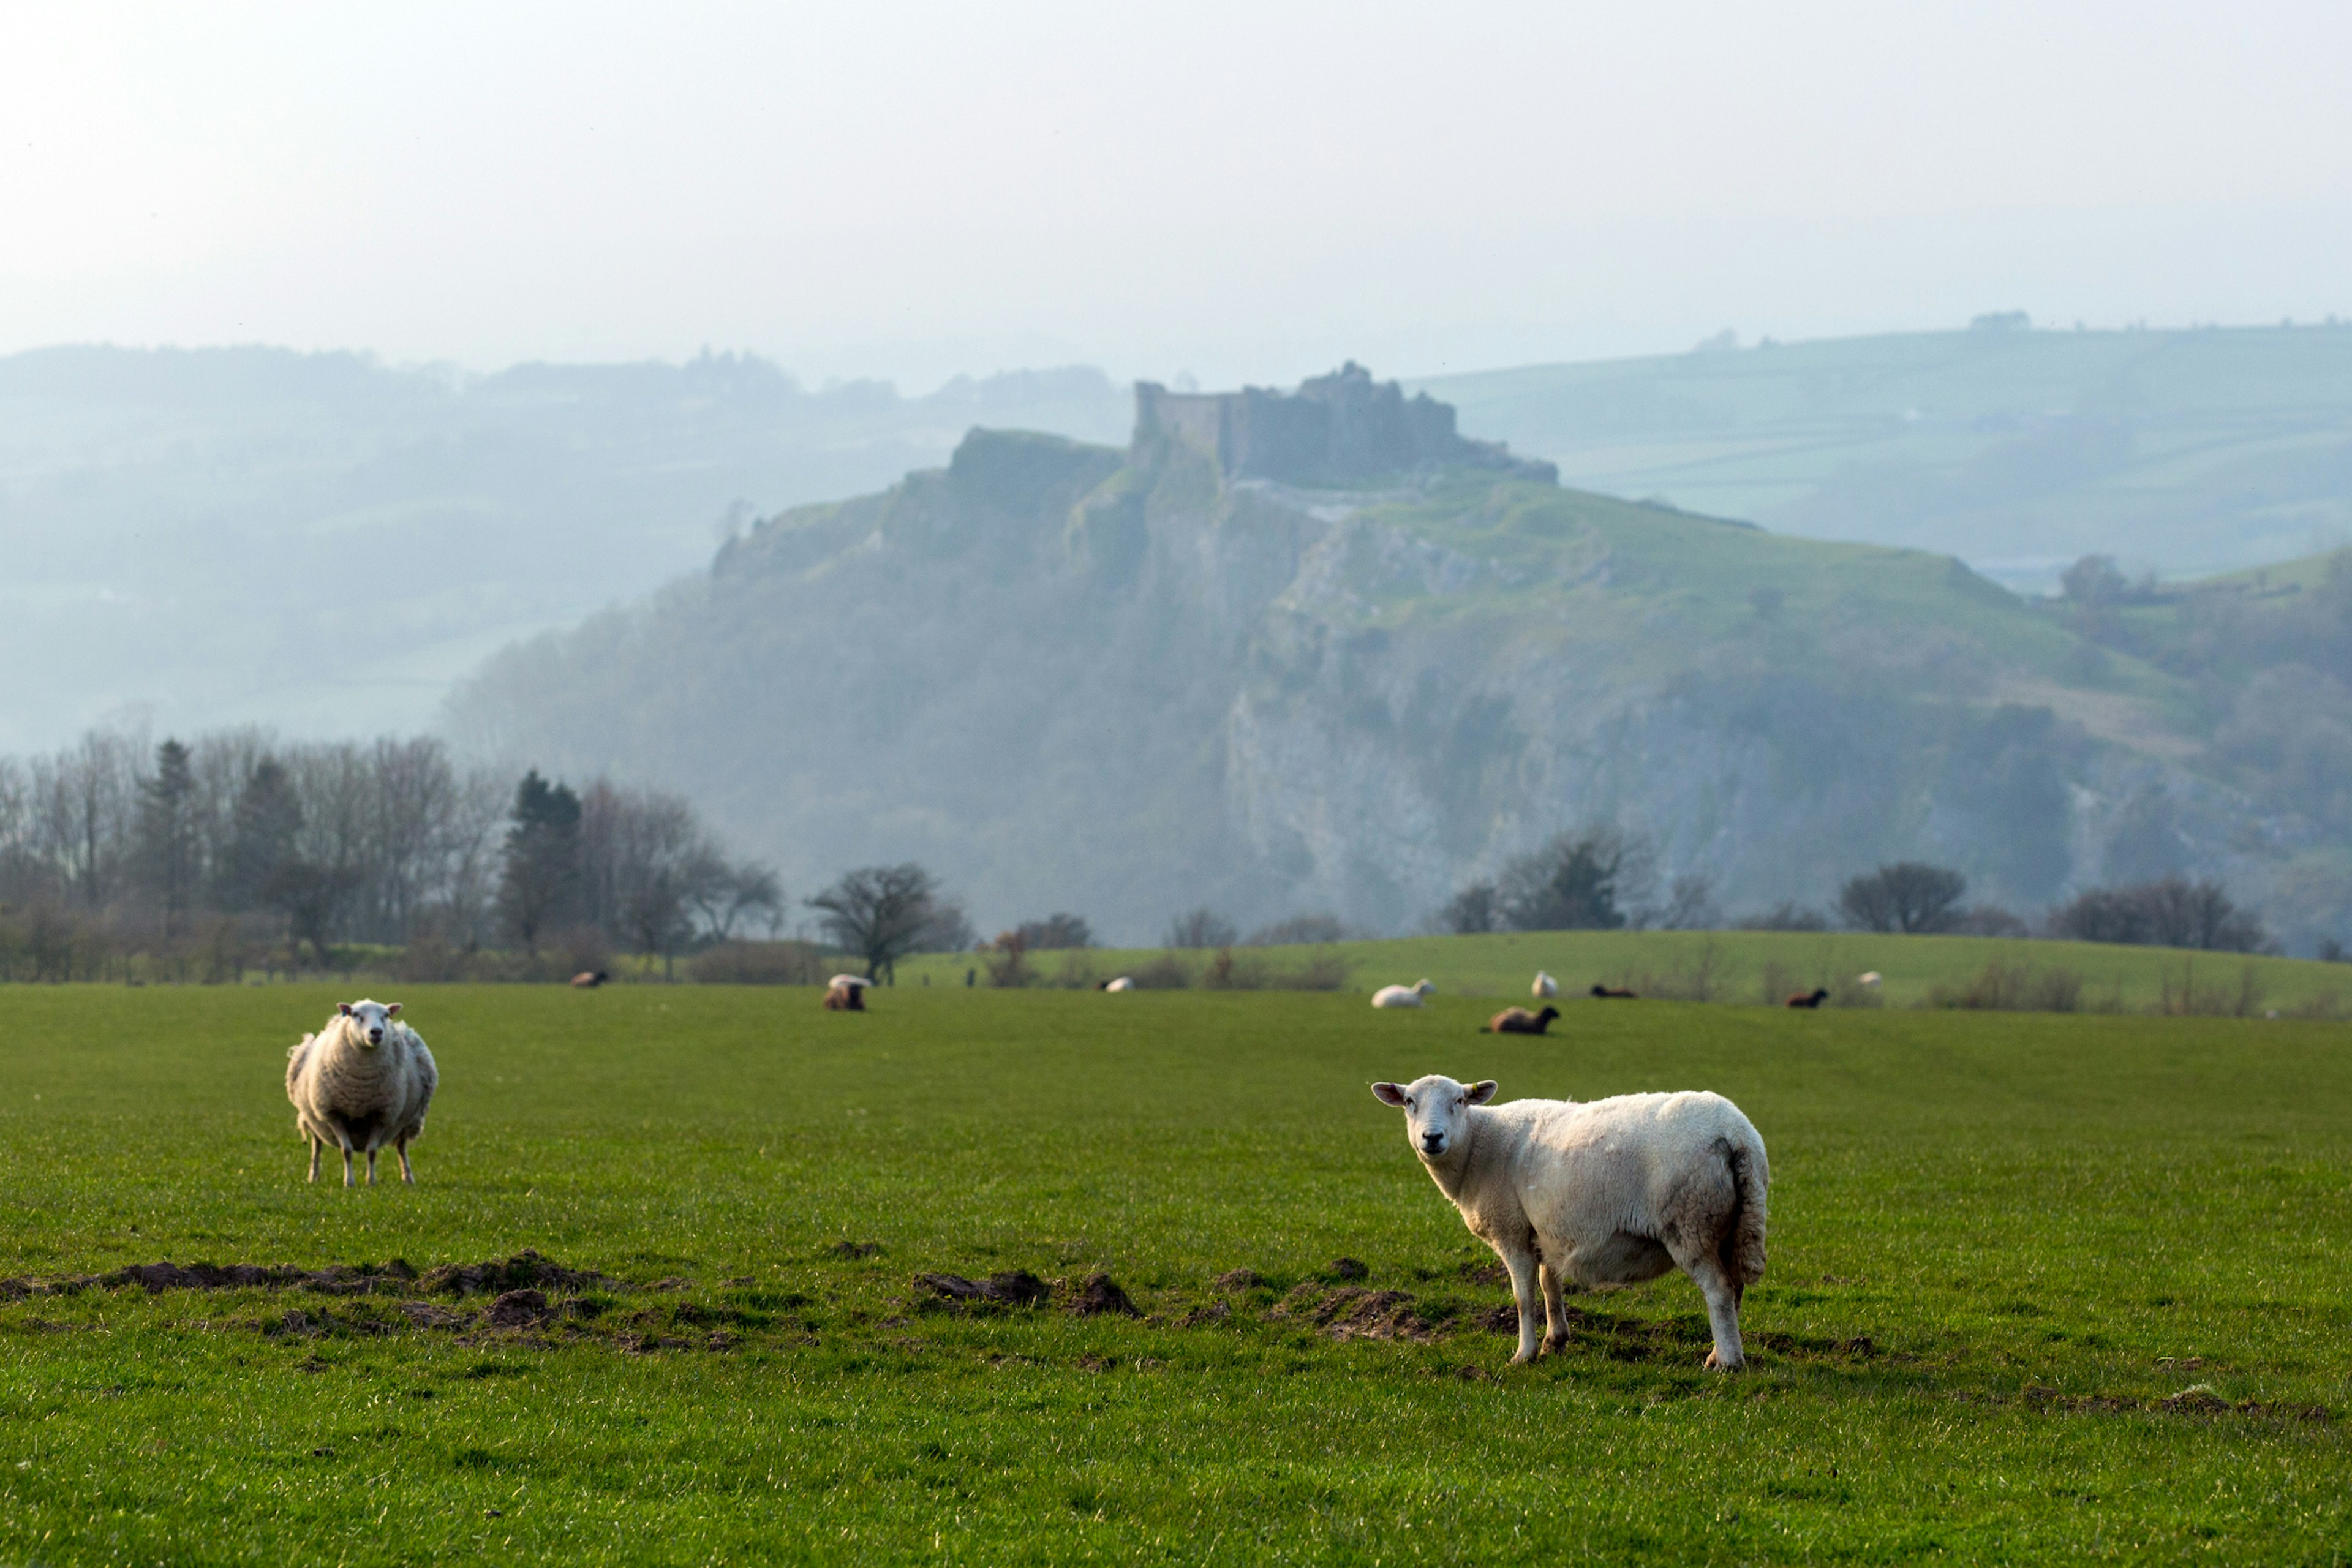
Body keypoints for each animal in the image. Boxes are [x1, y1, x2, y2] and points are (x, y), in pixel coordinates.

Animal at [287, 1006, 440, 1189]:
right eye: (356, 1015)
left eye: (386, 1015)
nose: (377, 1032)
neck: (360, 1088)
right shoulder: (334, 1115)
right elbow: (347, 1150)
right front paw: (349, 1182)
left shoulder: (381, 1115)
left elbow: (372, 1151)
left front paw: (371, 1181)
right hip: (315, 1122)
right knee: (317, 1146)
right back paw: (314, 1176)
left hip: (409, 1121)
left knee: (402, 1147)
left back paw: (408, 1178)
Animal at [1373, 1072, 1768, 1363]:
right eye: (1410, 1103)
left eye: (1458, 1102)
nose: (1432, 1138)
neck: (1478, 1149)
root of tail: (1737, 1134)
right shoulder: (1546, 1232)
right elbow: (1550, 1285)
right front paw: (1555, 1340)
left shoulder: (1511, 1231)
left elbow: (1523, 1297)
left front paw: (1525, 1355)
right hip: (1731, 1224)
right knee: (1734, 1290)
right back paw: (1721, 1352)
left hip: (1691, 1223)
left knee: (1718, 1291)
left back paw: (1728, 1364)